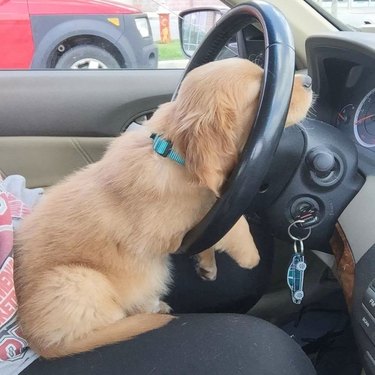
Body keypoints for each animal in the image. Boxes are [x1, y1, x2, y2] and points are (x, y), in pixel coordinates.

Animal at [13, 57, 314, 360]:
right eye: (260, 92)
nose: (309, 81)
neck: (171, 152)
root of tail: (37, 342)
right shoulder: (168, 229)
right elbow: (234, 220)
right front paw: (250, 256)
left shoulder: (205, 221)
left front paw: (207, 263)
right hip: (78, 280)